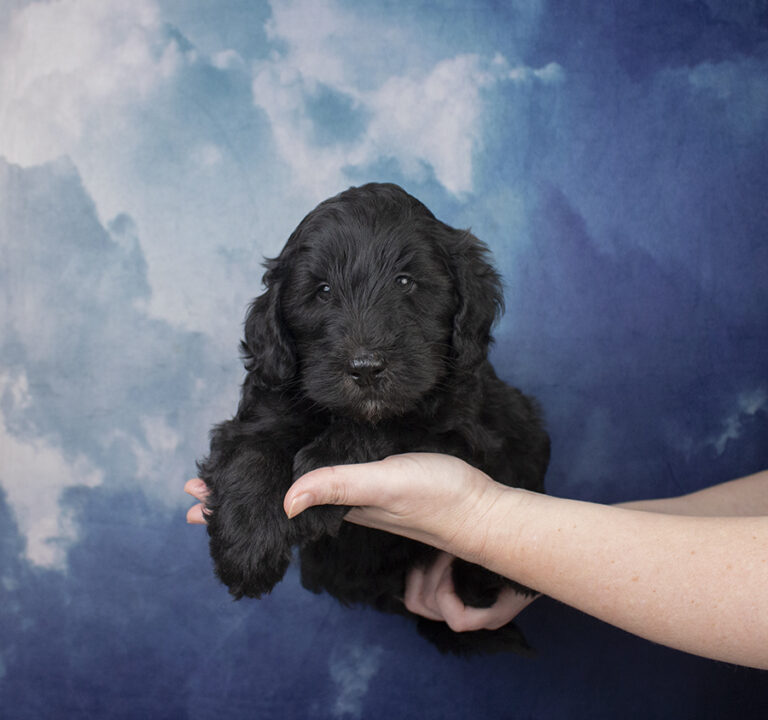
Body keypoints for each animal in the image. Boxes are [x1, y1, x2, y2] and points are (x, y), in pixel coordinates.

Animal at [198, 183, 550, 655]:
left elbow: (393, 425)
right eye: (323, 291)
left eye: (405, 281)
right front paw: (247, 546)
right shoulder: (262, 406)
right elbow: (253, 449)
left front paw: (327, 460)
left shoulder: (463, 431)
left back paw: (485, 577)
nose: (365, 368)